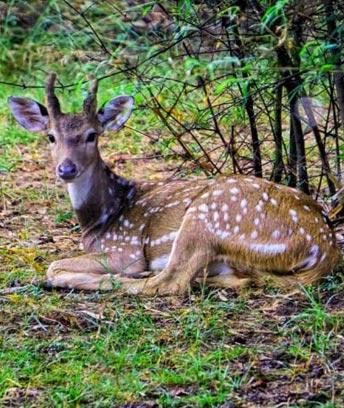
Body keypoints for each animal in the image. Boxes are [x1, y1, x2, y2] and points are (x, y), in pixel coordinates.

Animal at [8, 73, 342, 294]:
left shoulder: (125, 249)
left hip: (207, 216)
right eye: (51, 136)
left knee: (168, 283)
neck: (101, 218)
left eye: (92, 135)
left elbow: (53, 265)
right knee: (237, 278)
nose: (66, 168)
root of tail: (324, 247)